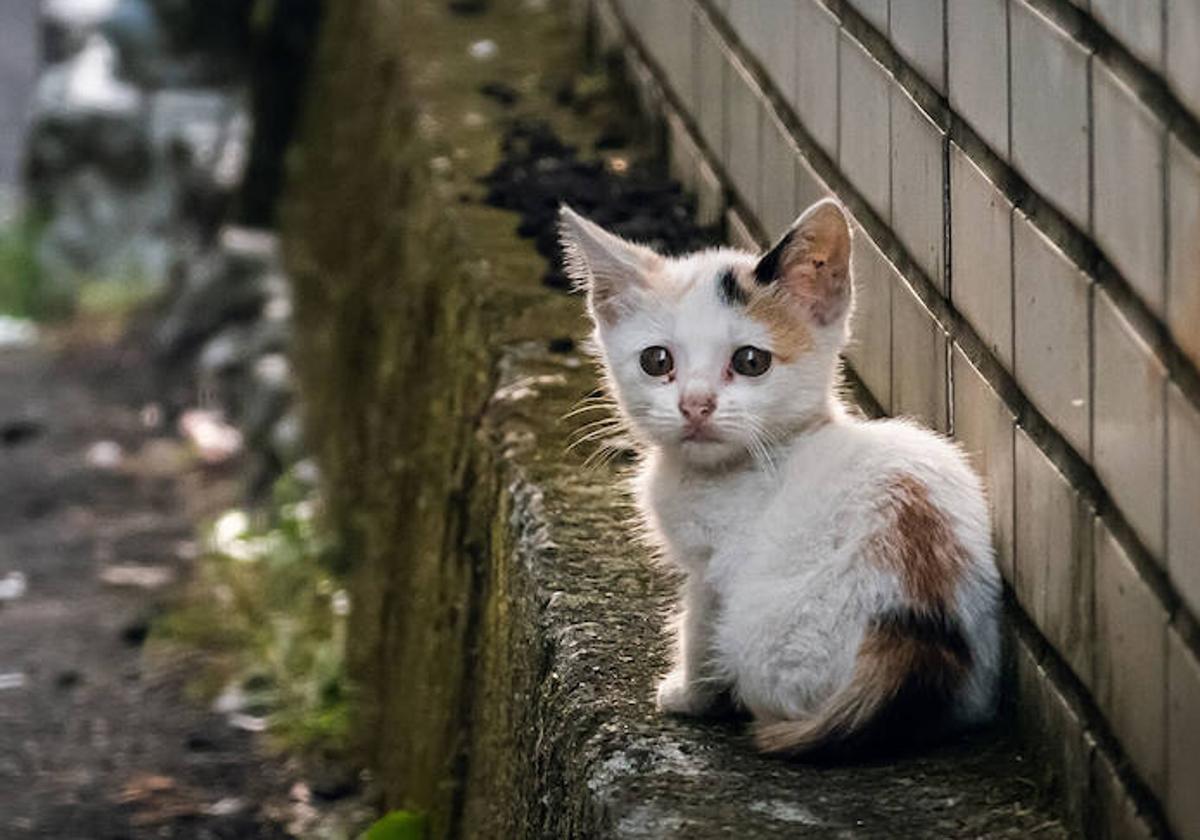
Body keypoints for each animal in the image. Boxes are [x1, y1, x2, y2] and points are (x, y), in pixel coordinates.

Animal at [561, 200, 1003, 758]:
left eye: (751, 361)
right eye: (656, 360)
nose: (696, 405)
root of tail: (912, 639)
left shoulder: (714, 567)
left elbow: (697, 624)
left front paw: (687, 693)